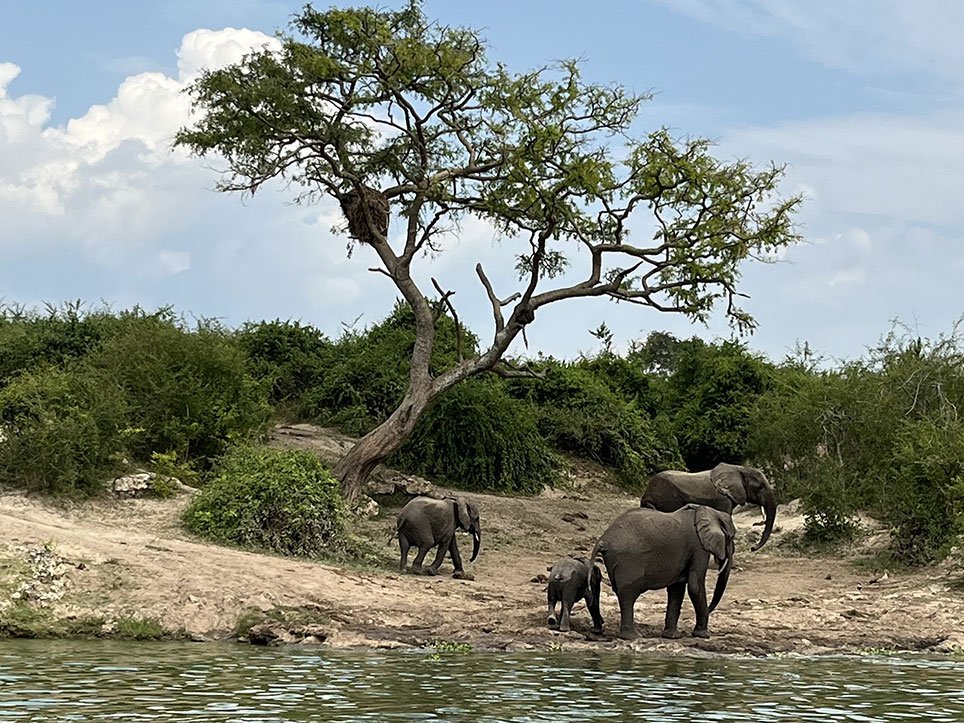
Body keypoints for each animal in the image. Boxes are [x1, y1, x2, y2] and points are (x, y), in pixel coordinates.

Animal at [584, 504, 736, 640]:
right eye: (731, 537)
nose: (710, 609)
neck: (706, 511)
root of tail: (603, 540)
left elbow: (677, 589)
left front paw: (672, 636)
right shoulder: (699, 547)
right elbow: (695, 586)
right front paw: (703, 635)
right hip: (629, 561)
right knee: (628, 595)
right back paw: (632, 637)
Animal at [640, 460, 776, 552]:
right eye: (760, 487)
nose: (752, 548)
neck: (740, 469)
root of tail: (647, 494)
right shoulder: (723, 498)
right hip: (668, 500)